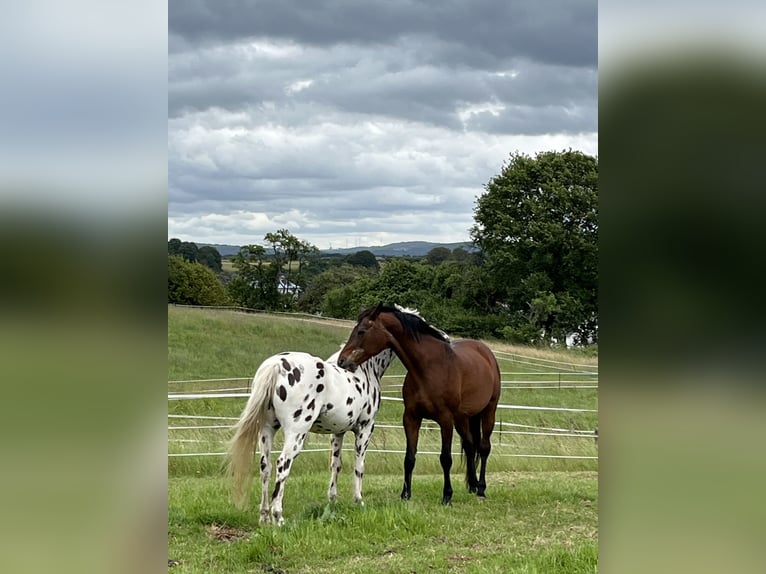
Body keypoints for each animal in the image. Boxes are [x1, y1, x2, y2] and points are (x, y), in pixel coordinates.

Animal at [226, 346, 396, 528]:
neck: (364, 369)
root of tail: (276, 365)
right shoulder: (365, 428)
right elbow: (359, 466)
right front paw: (358, 501)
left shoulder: (338, 432)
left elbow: (336, 465)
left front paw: (332, 501)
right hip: (296, 433)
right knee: (282, 465)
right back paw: (278, 517)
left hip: (267, 430)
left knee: (266, 467)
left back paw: (264, 517)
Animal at [340, 304, 500, 506]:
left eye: (361, 331)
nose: (342, 360)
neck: (429, 368)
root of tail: (485, 352)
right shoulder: (411, 417)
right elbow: (409, 457)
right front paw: (405, 494)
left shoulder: (445, 420)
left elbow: (445, 458)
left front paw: (447, 495)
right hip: (463, 418)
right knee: (470, 446)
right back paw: (472, 485)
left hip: (488, 411)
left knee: (484, 448)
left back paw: (481, 489)